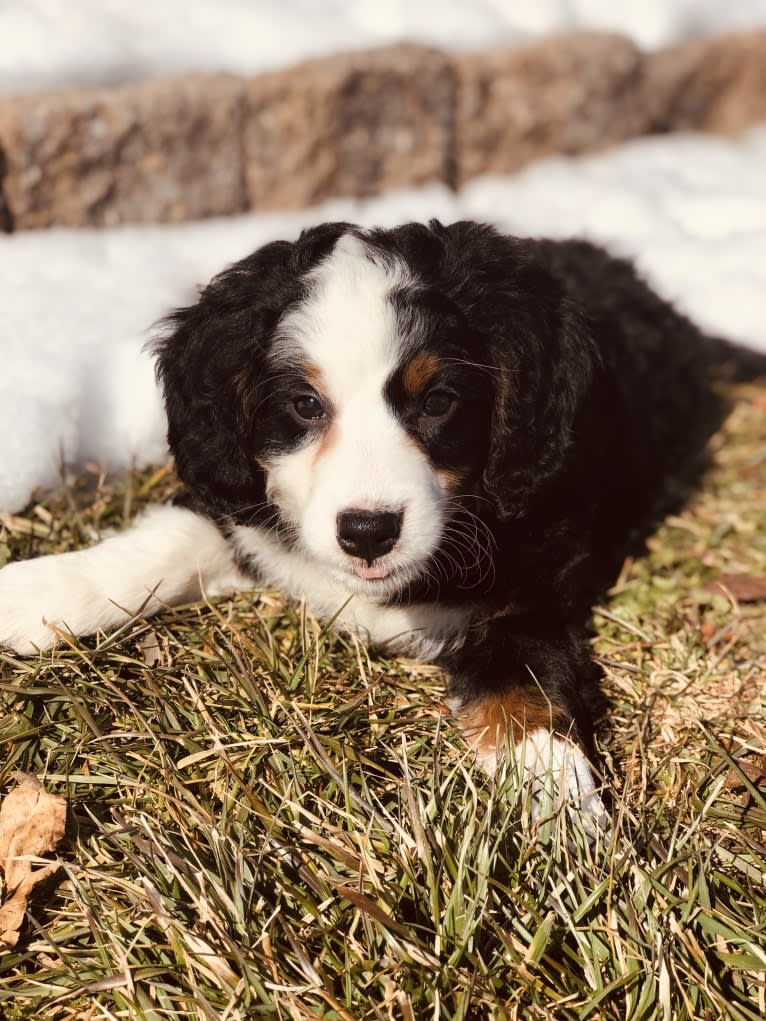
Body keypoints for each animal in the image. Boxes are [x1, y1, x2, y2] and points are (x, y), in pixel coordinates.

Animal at [3, 219, 763, 824]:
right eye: (305, 404)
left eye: (439, 401)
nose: (367, 532)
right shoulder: (245, 509)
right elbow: (161, 543)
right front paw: (34, 591)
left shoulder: (534, 592)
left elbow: (523, 687)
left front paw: (554, 806)